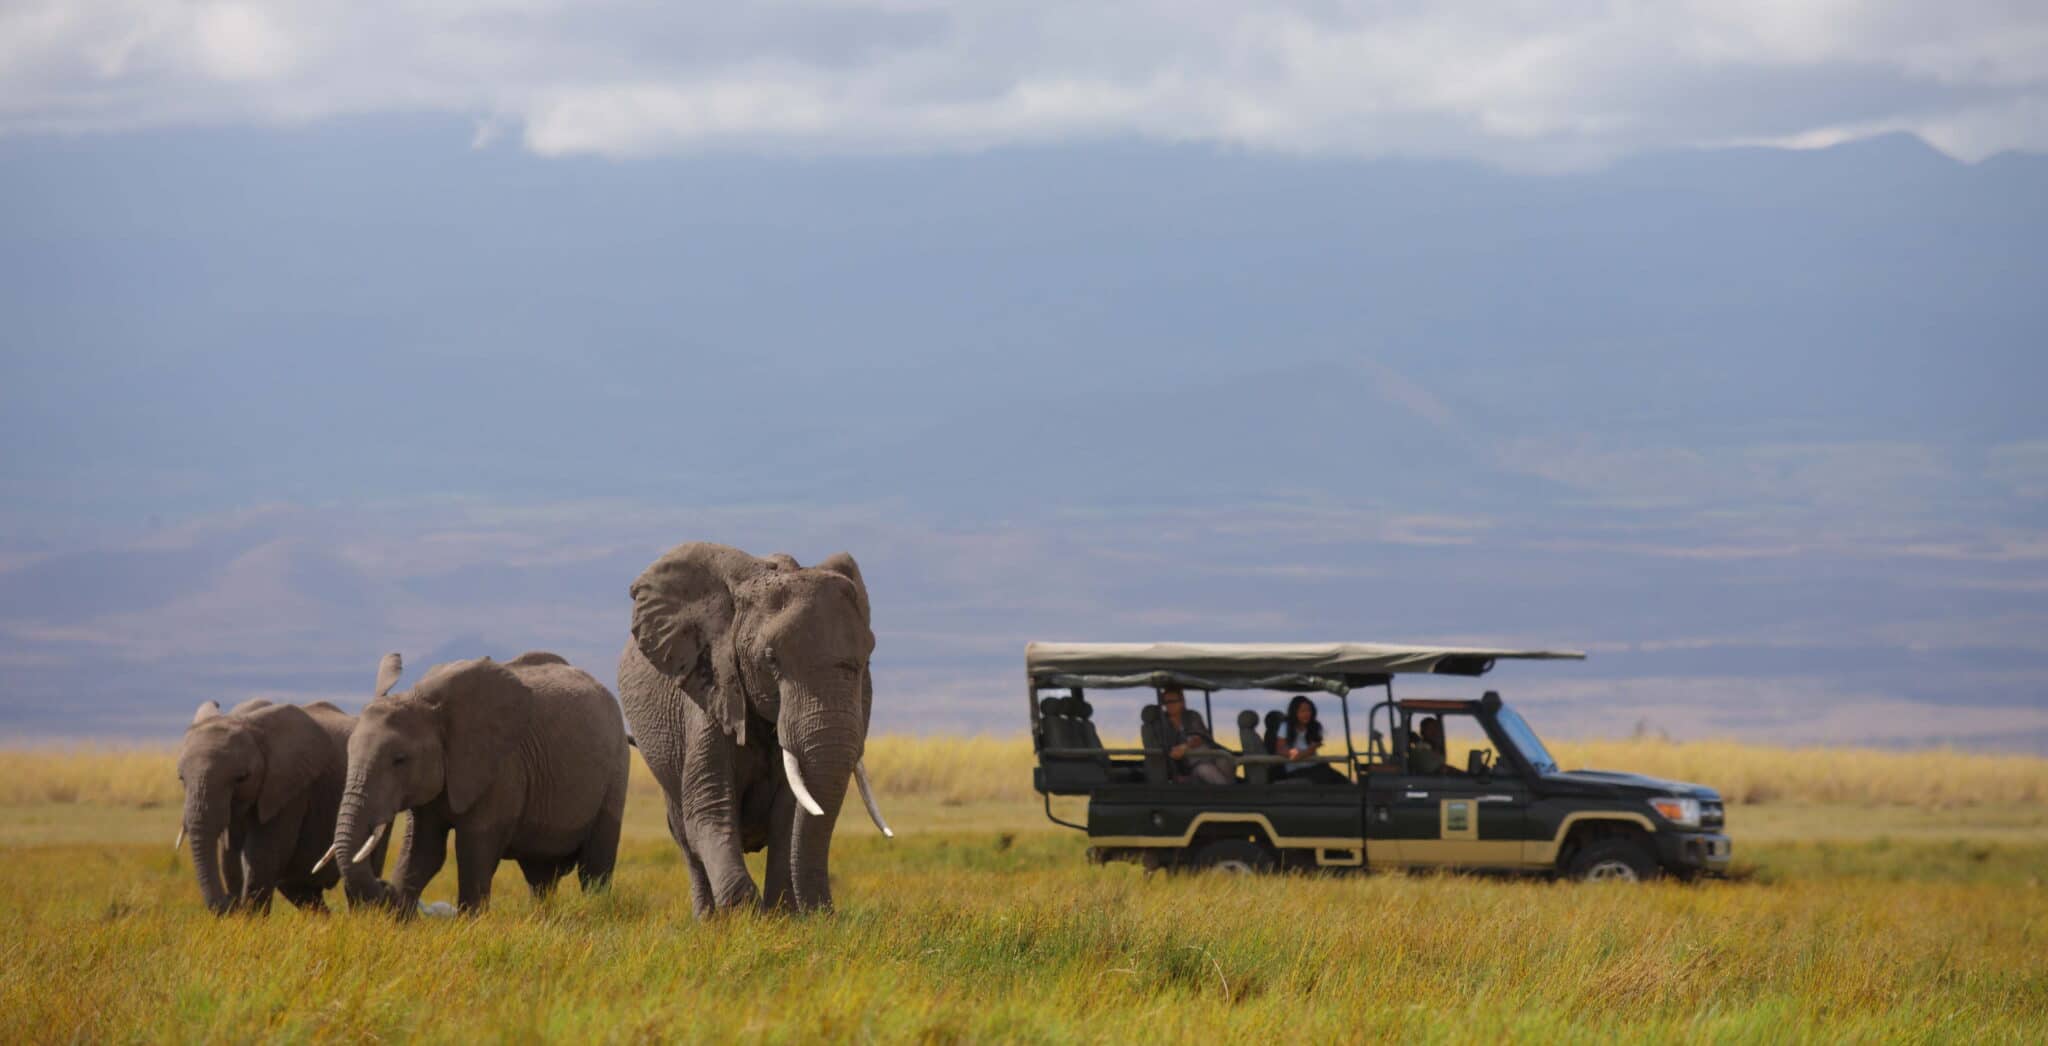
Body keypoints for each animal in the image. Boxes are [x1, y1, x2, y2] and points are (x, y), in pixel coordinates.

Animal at [174, 695, 389, 917]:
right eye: (181, 778)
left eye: (241, 778)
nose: (230, 902)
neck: (245, 721)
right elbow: (230, 859)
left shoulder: (289, 789)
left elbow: (261, 856)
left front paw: (251, 920)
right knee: (299, 890)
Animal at [327, 650, 626, 912]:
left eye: (399, 760)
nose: (384, 886)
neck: (426, 703)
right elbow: (423, 851)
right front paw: (400, 919)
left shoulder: (501, 770)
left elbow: (473, 850)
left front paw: (469, 923)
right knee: (540, 876)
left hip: (616, 768)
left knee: (594, 867)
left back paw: (594, 910)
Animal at [614, 540, 888, 917]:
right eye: (770, 659)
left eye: (867, 660)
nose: (827, 913)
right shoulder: (711, 687)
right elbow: (710, 809)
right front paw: (745, 915)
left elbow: (789, 816)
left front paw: (782, 917)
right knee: (685, 836)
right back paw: (707, 919)